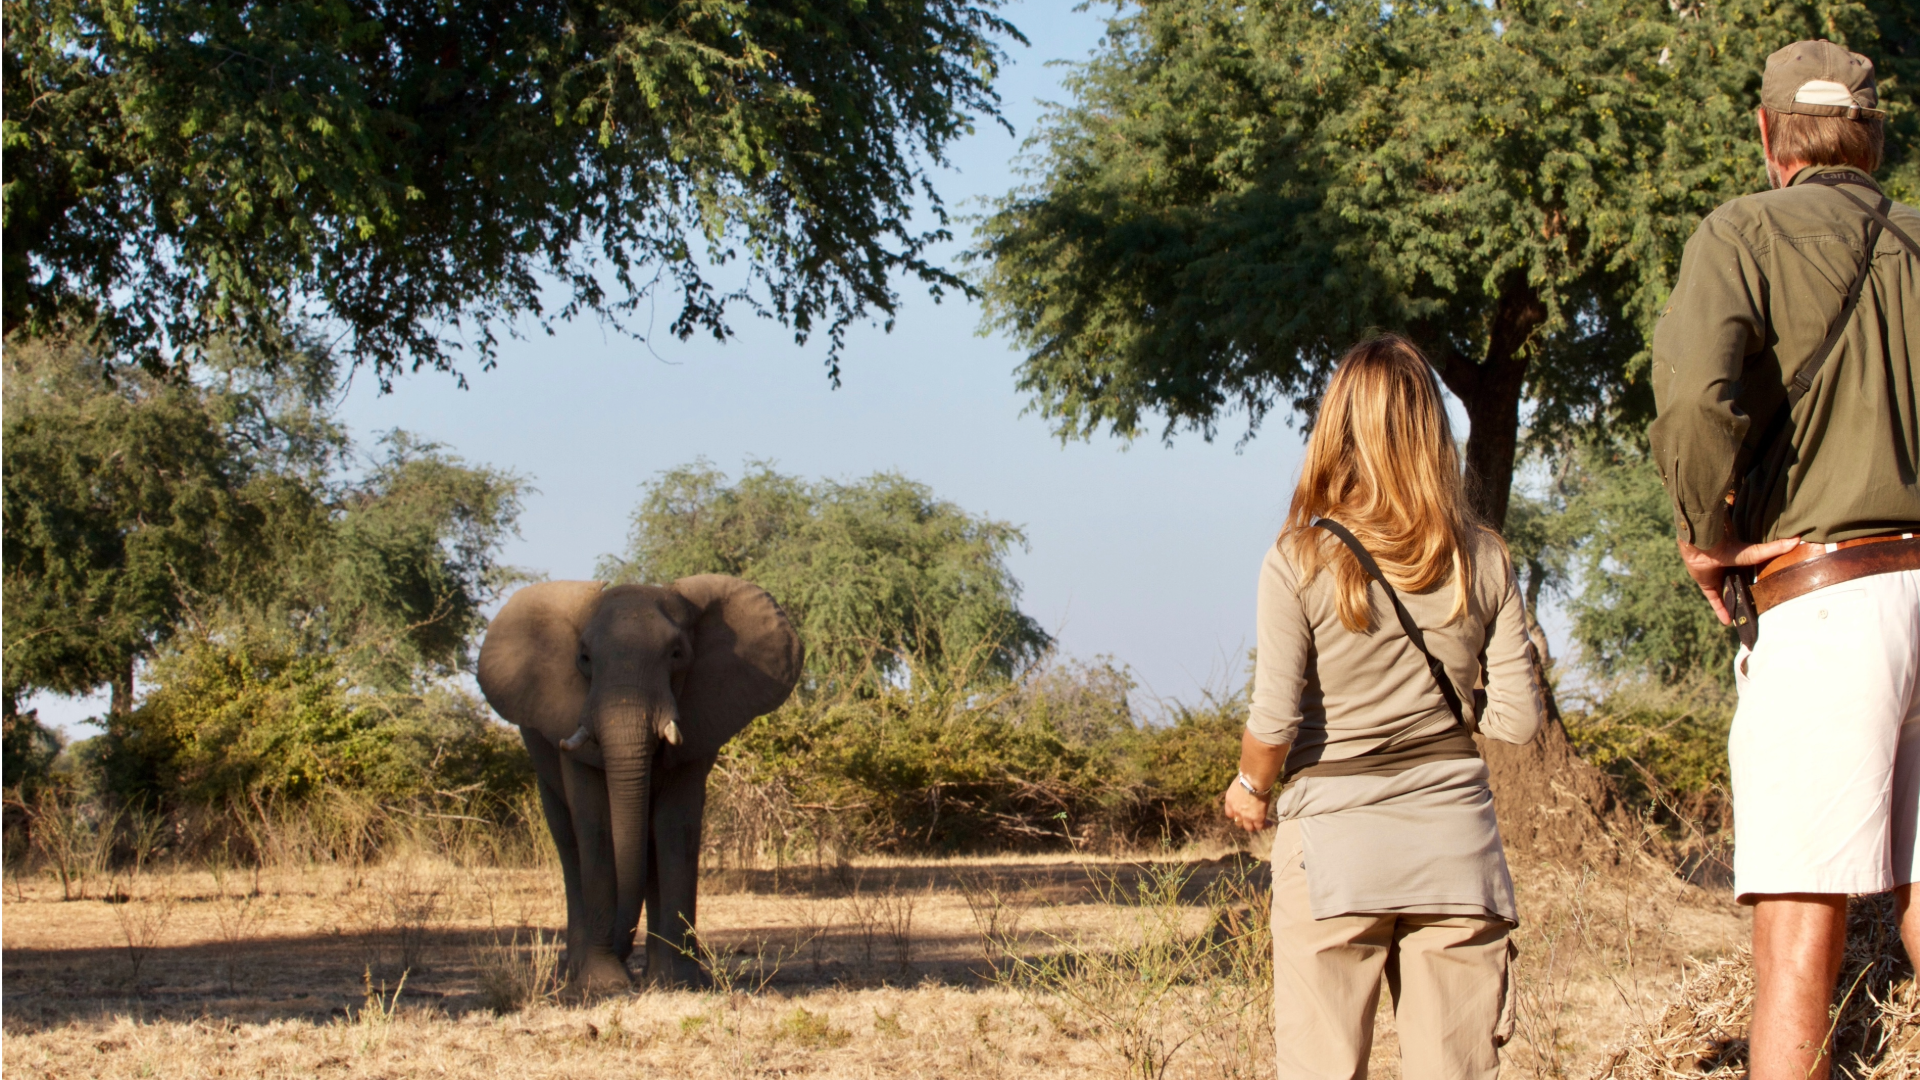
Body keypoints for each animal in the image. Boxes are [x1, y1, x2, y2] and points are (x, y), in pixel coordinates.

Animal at [483, 576, 806, 991]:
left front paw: (680, 983)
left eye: (677, 654)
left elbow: (675, 826)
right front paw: (605, 985)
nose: (622, 959)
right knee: (568, 840)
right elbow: (595, 824)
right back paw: (574, 973)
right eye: (584, 658)